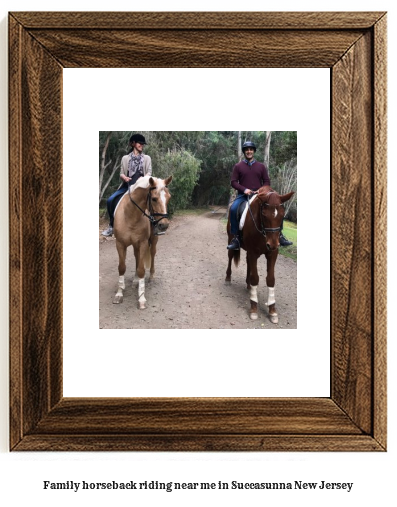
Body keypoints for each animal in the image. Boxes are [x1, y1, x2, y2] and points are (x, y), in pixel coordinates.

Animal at [113, 175, 172, 310]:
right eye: (154, 199)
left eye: (169, 198)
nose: (164, 225)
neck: (130, 215)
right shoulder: (120, 244)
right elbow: (121, 267)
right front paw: (119, 293)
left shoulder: (143, 243)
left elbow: (141, 269)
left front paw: (141, 298)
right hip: (135, 245)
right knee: (136, 257)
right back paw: (135, 280)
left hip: (152, 242)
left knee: (152, 255)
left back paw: (150, 277)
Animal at [224, 186, 292, 322]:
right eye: (264, 215)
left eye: (282, 215)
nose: (272, 244)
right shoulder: (253, 252)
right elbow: (255, 278)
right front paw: (254, 308)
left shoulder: (272, 254)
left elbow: (270, 279)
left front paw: (272, 310)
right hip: (230, 239)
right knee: (230, 256)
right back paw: (228, 278)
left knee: (248, 263)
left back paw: (248, 285)